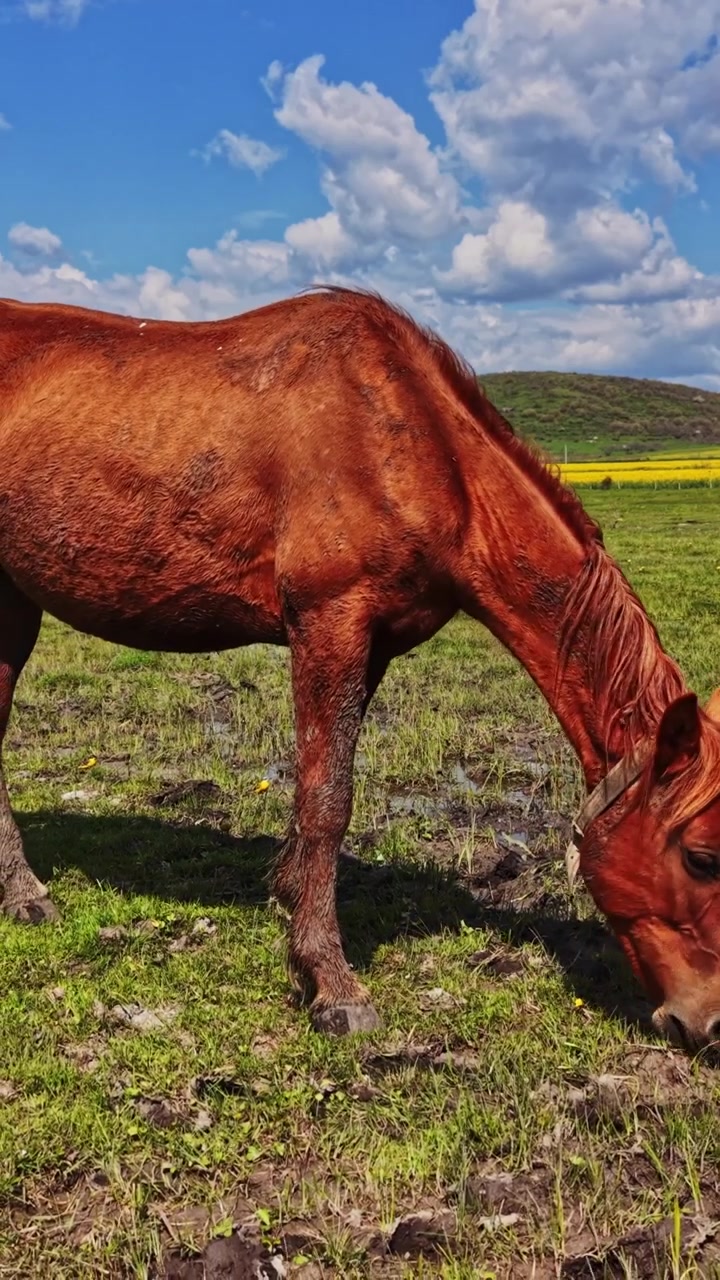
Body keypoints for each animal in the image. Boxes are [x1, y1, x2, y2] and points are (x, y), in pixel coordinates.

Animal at [1, 285, 719, 1049]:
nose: (706, 1023)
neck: (413, 445)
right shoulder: (329, 623)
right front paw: (330, 980)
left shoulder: (370, 647)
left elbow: (323, 791)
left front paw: (291, 905)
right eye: (702, 857)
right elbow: (328, 799)